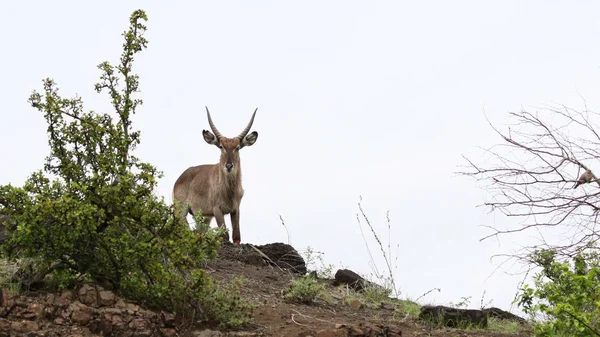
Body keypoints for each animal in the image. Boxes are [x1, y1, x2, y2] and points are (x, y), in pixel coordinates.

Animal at [172, 106, 258, 245]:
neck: (229, 190)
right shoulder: (217, 210)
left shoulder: (236, 209)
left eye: (238, 147)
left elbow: (236, 237)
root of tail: (180, 177)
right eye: (221, 146)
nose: (228, 166)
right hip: (180, 210)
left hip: (203, 217)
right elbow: (225, 236)